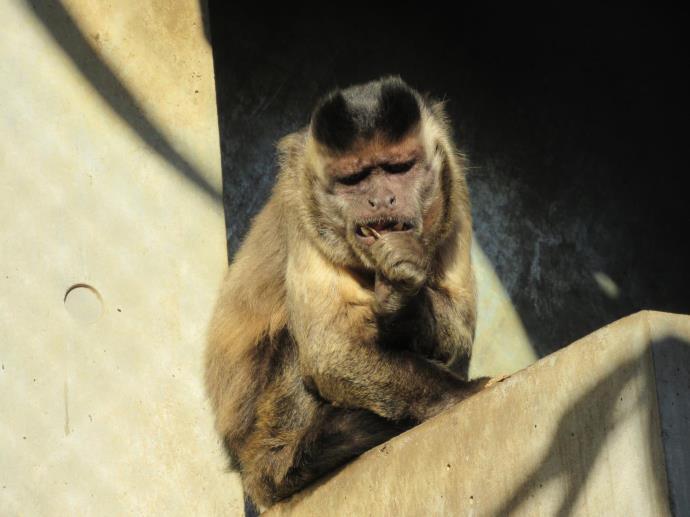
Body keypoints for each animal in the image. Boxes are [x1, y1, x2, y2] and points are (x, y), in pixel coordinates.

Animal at [204, 75, 490, 508]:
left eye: (398, 168)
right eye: (355, 179)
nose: (381, 199)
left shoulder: (453, 184)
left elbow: (458, 326)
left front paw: (404, 303)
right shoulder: (300, 203)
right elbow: (331, 352)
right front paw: (456, 396)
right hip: (258, 435)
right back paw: (292, 465)